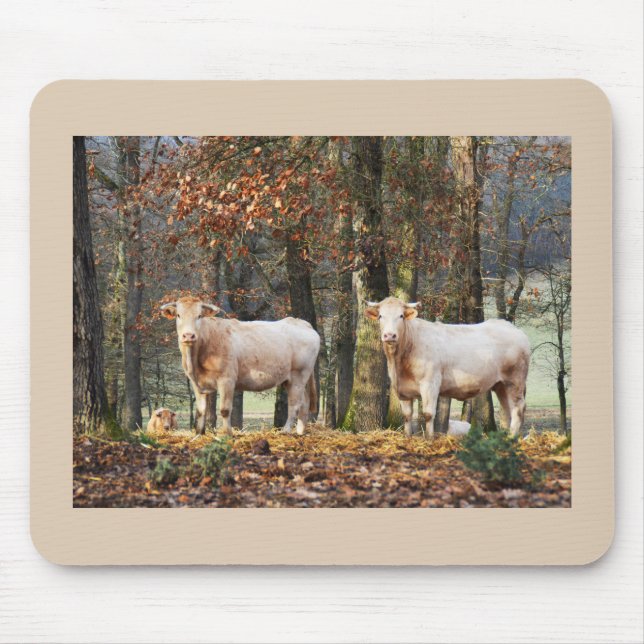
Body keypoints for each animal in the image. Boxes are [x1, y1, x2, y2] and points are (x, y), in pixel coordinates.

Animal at [160, 296, 320, 436]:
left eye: (199, 316)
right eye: (179, 315)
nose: (188, 335)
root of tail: (301, 323)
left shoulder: (227, 379)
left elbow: (224, 410)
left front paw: (227, 433)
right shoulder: (197, 383)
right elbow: (201, 411)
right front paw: (199, 434)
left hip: (298, 375)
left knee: (295, 404)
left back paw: (286, 431)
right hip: (292, 379)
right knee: (305, 402)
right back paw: (300, 431)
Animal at [365, 297, 530, 438]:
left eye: (400, 316)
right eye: (380, 316)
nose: (389, 335)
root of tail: (512, 328)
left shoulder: (430, 383)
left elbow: (428, 414)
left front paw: (429, 439)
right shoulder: (402, 389)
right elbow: (406, 415)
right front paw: (407, 437)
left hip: (514, 380)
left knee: (518, 408)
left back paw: (512, 438)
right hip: (500, 385)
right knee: (508, 409)